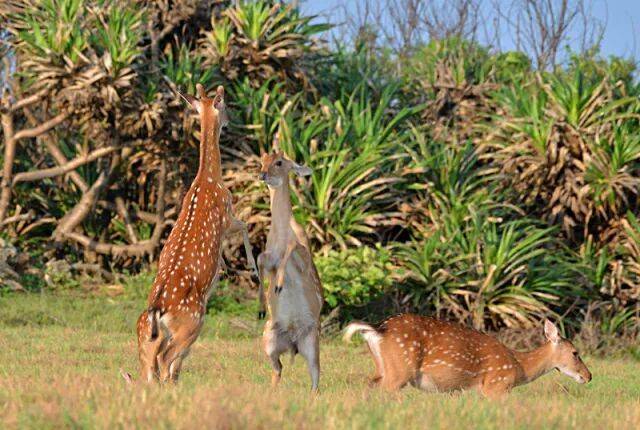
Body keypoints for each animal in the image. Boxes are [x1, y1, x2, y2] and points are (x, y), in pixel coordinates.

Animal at [123, 84, 261, 384]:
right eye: (225, 105)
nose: (230, 121)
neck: (209, 180)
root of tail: (158, 311)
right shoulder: (227, 215)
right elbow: (245, 226)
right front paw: (250, 269)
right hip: (193, 320)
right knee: (165, 358)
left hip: (144, 331)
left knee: (149, 367)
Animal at [257, 145, 323, 392]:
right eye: (262, 161)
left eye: (279, 162)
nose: (262, 175)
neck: (281, 233)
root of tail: (293, 344)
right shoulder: (268, 257)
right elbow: (259, 258)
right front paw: (263, 300)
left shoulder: (305, 256)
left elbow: (292, 248)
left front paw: (278, 285)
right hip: (268, 339)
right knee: (278, 369)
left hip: (313, 342)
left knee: (315, 379)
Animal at [344, 314, 591, 399]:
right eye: (575, 353)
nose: (589, 376)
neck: (519, 367)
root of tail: (378, 329)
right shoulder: (496, 385)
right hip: (400, 370)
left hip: (383, 367)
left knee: (368, 387)